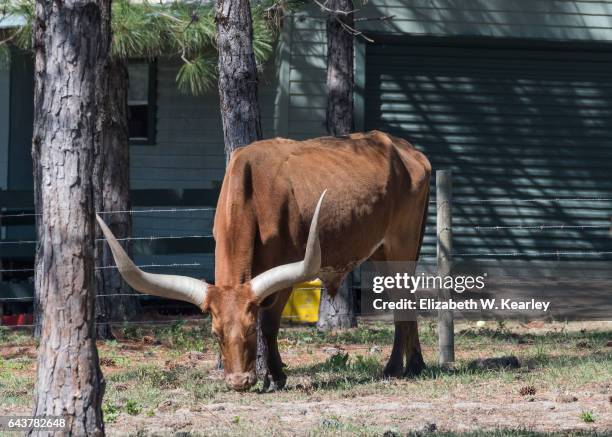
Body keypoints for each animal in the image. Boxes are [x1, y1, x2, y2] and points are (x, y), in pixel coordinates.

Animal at [97, 129, 430, 388]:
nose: (239, 382)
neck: (253, 194)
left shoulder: (286, 274)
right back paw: (412, 365)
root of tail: (409, 151)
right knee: (402, 298)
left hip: (401, 243)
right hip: (382, 250)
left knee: (403, 298)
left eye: (249, 329)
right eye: (215, 333)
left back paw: (400, 368)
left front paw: (276, 376)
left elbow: (270, 324)